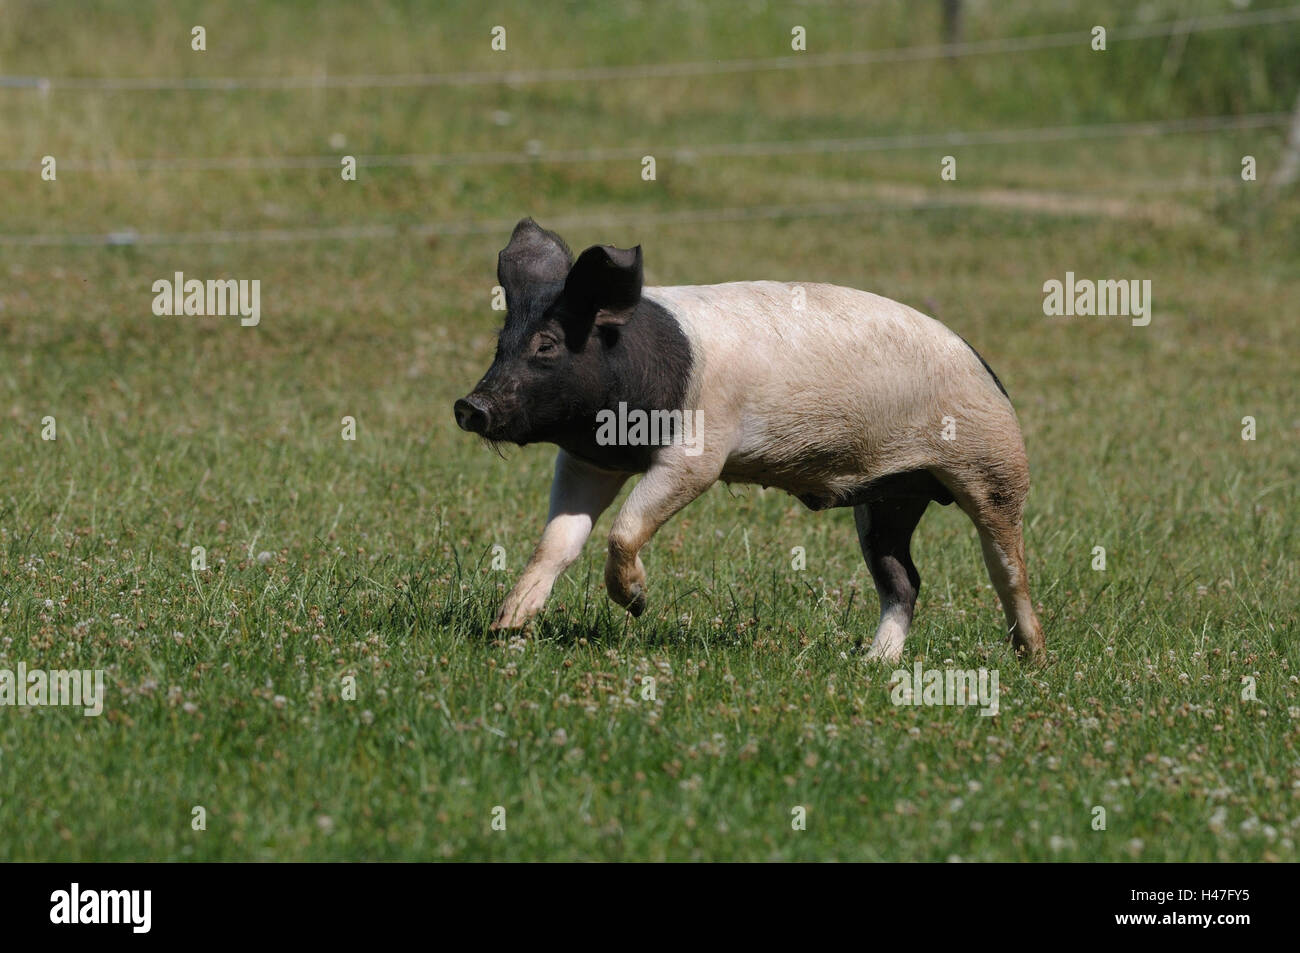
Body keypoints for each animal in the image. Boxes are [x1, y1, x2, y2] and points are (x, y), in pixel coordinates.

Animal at [457, 218, 1045, 657]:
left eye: (548, 345)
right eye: (502, 342)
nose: (469, 407)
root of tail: (988, 369)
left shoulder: (698, 453)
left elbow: (624, 529)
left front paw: (638, 604)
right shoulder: (589, 461)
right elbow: (557, 541)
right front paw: (506, 628)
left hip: (993, 465)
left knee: (1008, 569)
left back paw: (1031, 656)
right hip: (890, 496)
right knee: (905, 579)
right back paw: (871, 663)